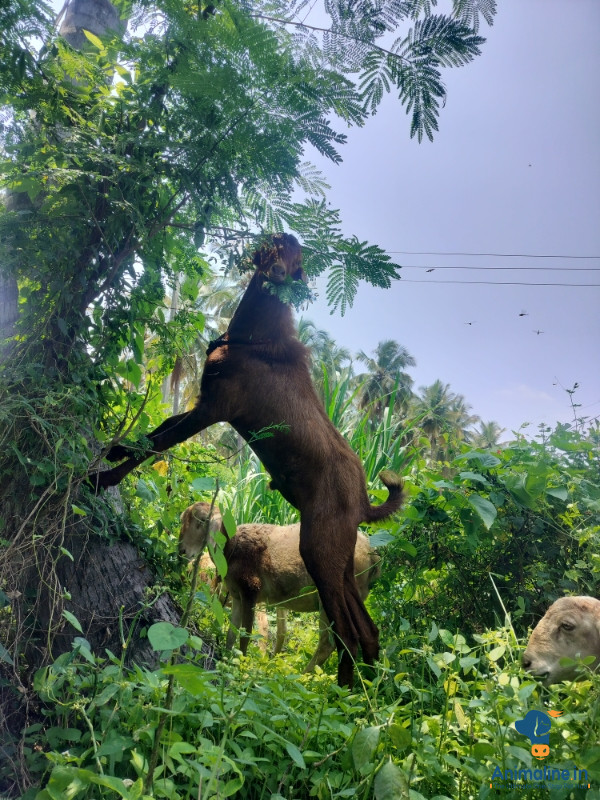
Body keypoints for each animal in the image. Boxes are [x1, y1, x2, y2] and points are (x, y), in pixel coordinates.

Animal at [179, 501, 381, 670]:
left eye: (202, 520)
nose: (181, 551)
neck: (231, 546)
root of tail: (373, 555)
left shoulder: (251, 592)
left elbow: (246, 635)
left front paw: (240, 666)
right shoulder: (237, 596)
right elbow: (232, 633)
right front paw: (226, 660)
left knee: (329, 642)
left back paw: (304, 676)